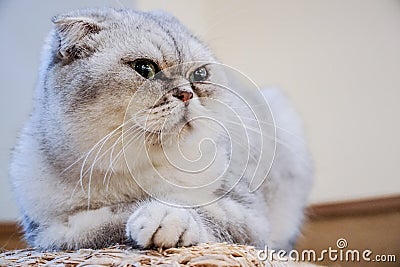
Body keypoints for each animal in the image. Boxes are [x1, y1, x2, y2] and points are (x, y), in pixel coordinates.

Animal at [9, 7, 312, 252]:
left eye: (199, 75)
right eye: (145, 69)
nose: (187, 94)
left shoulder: (249, 215)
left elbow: (198, 208)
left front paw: (163, 216)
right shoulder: (53, 232)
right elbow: (111, 218)